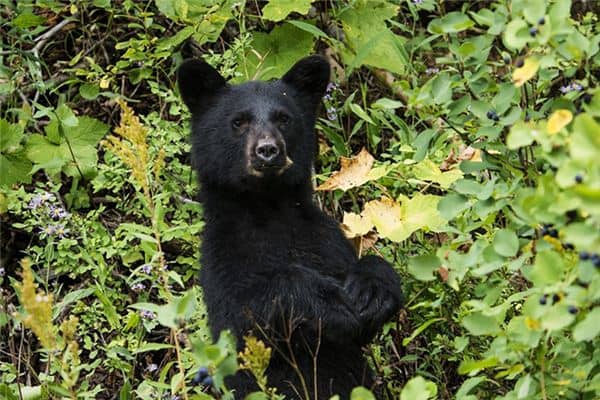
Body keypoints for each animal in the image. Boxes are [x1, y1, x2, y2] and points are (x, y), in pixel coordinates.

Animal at [178, 54, 404, 400]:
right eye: (238, 122)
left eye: (283, 118)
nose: (268, 150)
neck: (269, 209)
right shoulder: (223, 257)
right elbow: (243, 317)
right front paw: (327, 301)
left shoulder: (324, 239)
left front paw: (371, 291)